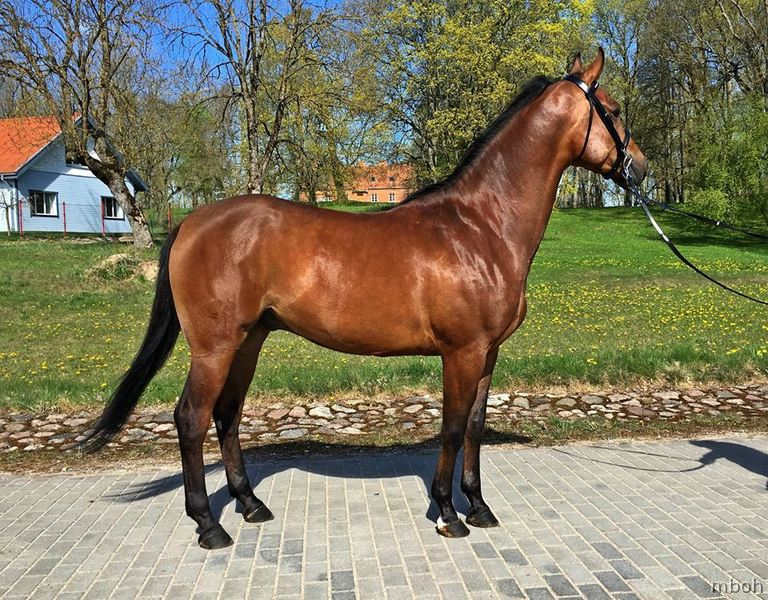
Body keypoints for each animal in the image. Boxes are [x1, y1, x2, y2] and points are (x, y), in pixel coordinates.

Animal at [84, 49, 647, 549]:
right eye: (614, 110)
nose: (640, 169)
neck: (480, 226)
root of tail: (191, 223)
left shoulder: (487, 354)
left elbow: (474, 428)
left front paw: (479, 507)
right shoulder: (461, 352)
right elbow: (451, 428)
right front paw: (448, 514)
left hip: (248, 342)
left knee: (227, 415)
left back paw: (250, 505)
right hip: (214, 347)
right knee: (192, 418)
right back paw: (209, 525)